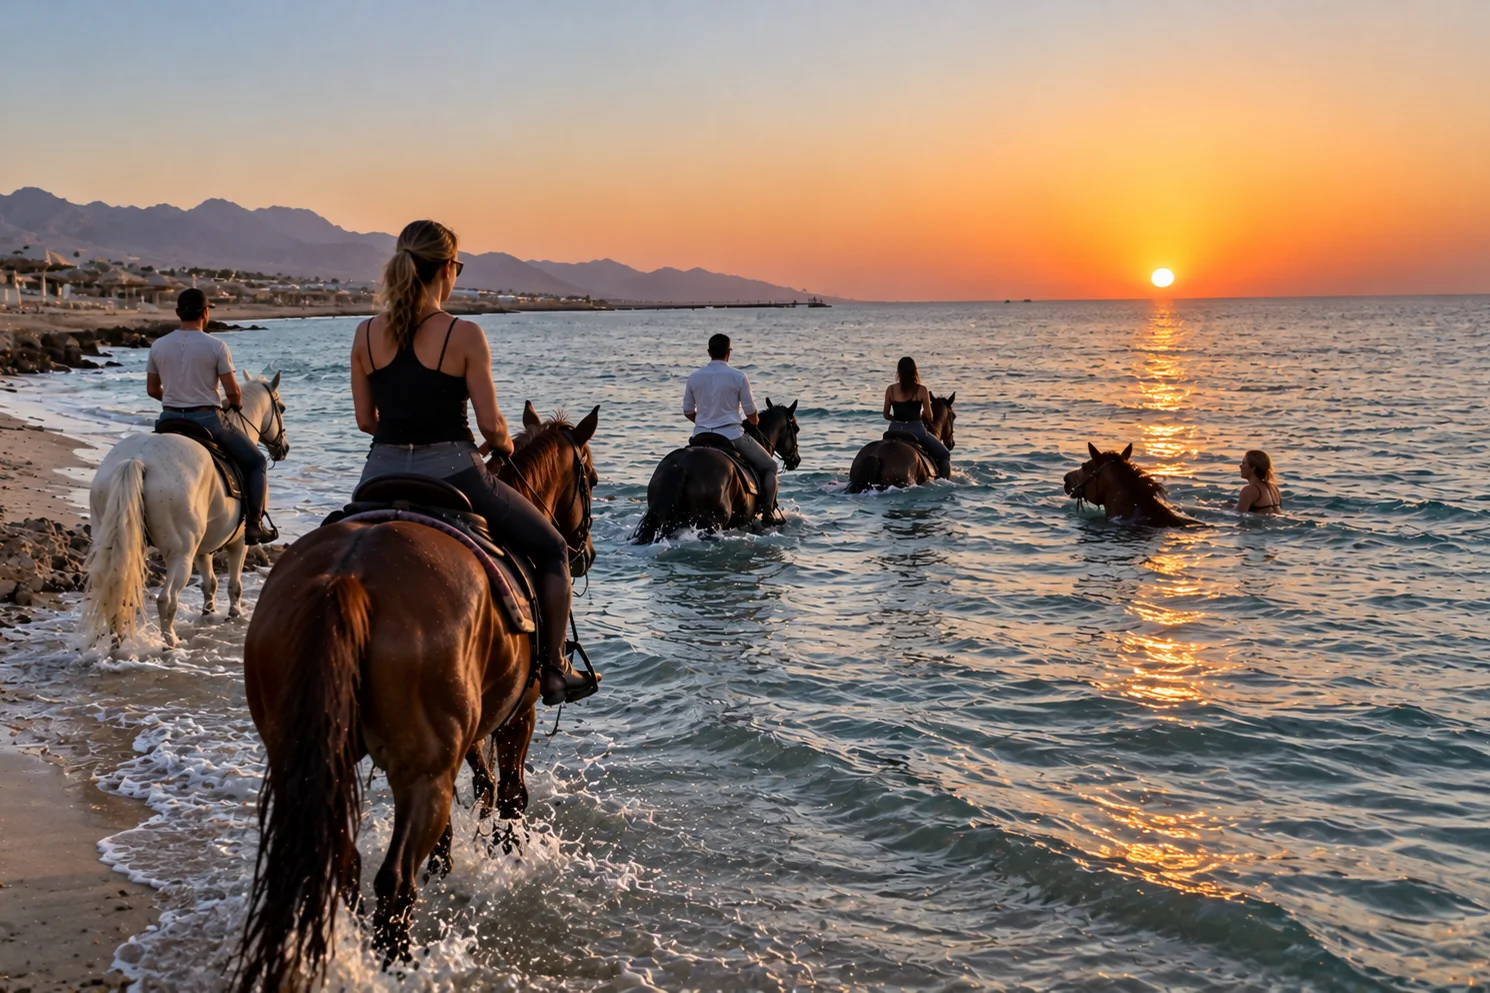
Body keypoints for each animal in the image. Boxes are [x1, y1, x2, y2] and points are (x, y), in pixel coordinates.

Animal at [81, 374, 289, 649]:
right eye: (282, 408)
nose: (283, 448)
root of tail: (137, 459)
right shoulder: (238, 542)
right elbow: (234, 585)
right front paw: (233, 614)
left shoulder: (203, 547)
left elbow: (210, 583)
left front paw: (208, 613)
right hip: (181, 553)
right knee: (166, 599)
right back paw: (171, 642)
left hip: (113, 539)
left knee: (114, 586)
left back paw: (118, 640)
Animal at [233, 404, 599, 993]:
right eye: (591, 478)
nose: (583, 552)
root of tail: (346, 578)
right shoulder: (514, 716)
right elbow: (511, 794)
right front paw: (507, 856)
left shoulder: (465, 732)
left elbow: (481, 784)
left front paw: (451, 864)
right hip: (424, 773)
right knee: (393, 882)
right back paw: (399, 963)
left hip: (319, 757)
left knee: (347, 869)